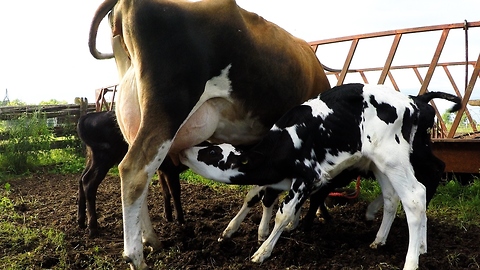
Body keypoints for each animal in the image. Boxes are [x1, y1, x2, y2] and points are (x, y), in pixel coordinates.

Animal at [181, 83, 462, 268]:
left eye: (212, 152)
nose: (184, 149)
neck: (284, 143)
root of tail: (412, 102)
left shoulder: (307, 177)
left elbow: (283, 213)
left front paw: (263, 251)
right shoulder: (282, 181)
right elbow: (258, 196)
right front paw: (233, 231)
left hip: (394, 158)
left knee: (415, 196)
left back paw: (412, 259)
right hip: (380, 164)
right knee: (393, 198)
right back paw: (381, 240)